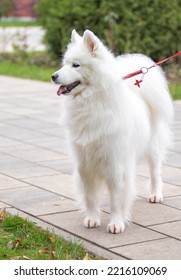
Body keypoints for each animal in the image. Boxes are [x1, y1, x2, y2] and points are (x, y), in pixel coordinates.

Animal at [51, 29, 173, 233]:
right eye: (64, 64)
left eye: (76, 65)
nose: (53, 76)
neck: (91, 103)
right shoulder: (85, 163)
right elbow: (90, 196)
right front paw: (92, 218)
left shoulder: (116, 164)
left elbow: (116, 198)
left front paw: (116, 223)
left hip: (153, 149)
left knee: (155, 172)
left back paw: (155, 195)